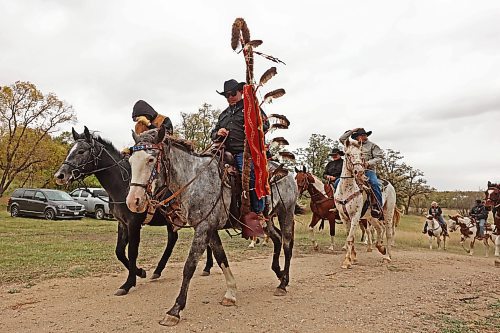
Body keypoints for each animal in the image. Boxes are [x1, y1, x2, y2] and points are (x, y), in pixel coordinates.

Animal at [126, 126, 296, 324]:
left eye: (151, 159)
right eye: (130, 161)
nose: (133, 201)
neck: (195, 180)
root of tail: (288, 174)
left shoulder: (203, 228)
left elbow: (189, 266)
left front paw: (175, 309)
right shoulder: (210, 229)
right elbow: (221, 258)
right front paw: (231, 293)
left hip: (286, 214)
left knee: (287, 245)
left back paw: (283, 284)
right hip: (266, 220)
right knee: (277, 239)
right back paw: (280, 273)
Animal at [334, 139, 396, 268]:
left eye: (361, 154)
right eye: (348, 154)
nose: (359, 172)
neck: (346, 189)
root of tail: (389, 184)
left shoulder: (355, 216)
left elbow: (350, 238)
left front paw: (347, 261)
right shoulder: (344, 217)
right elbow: (350, 237)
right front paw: (353, 258)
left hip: (388, 213)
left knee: (388, 233)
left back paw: (387, 257)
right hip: (371, 217)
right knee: (379, 229)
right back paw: (380, 248)